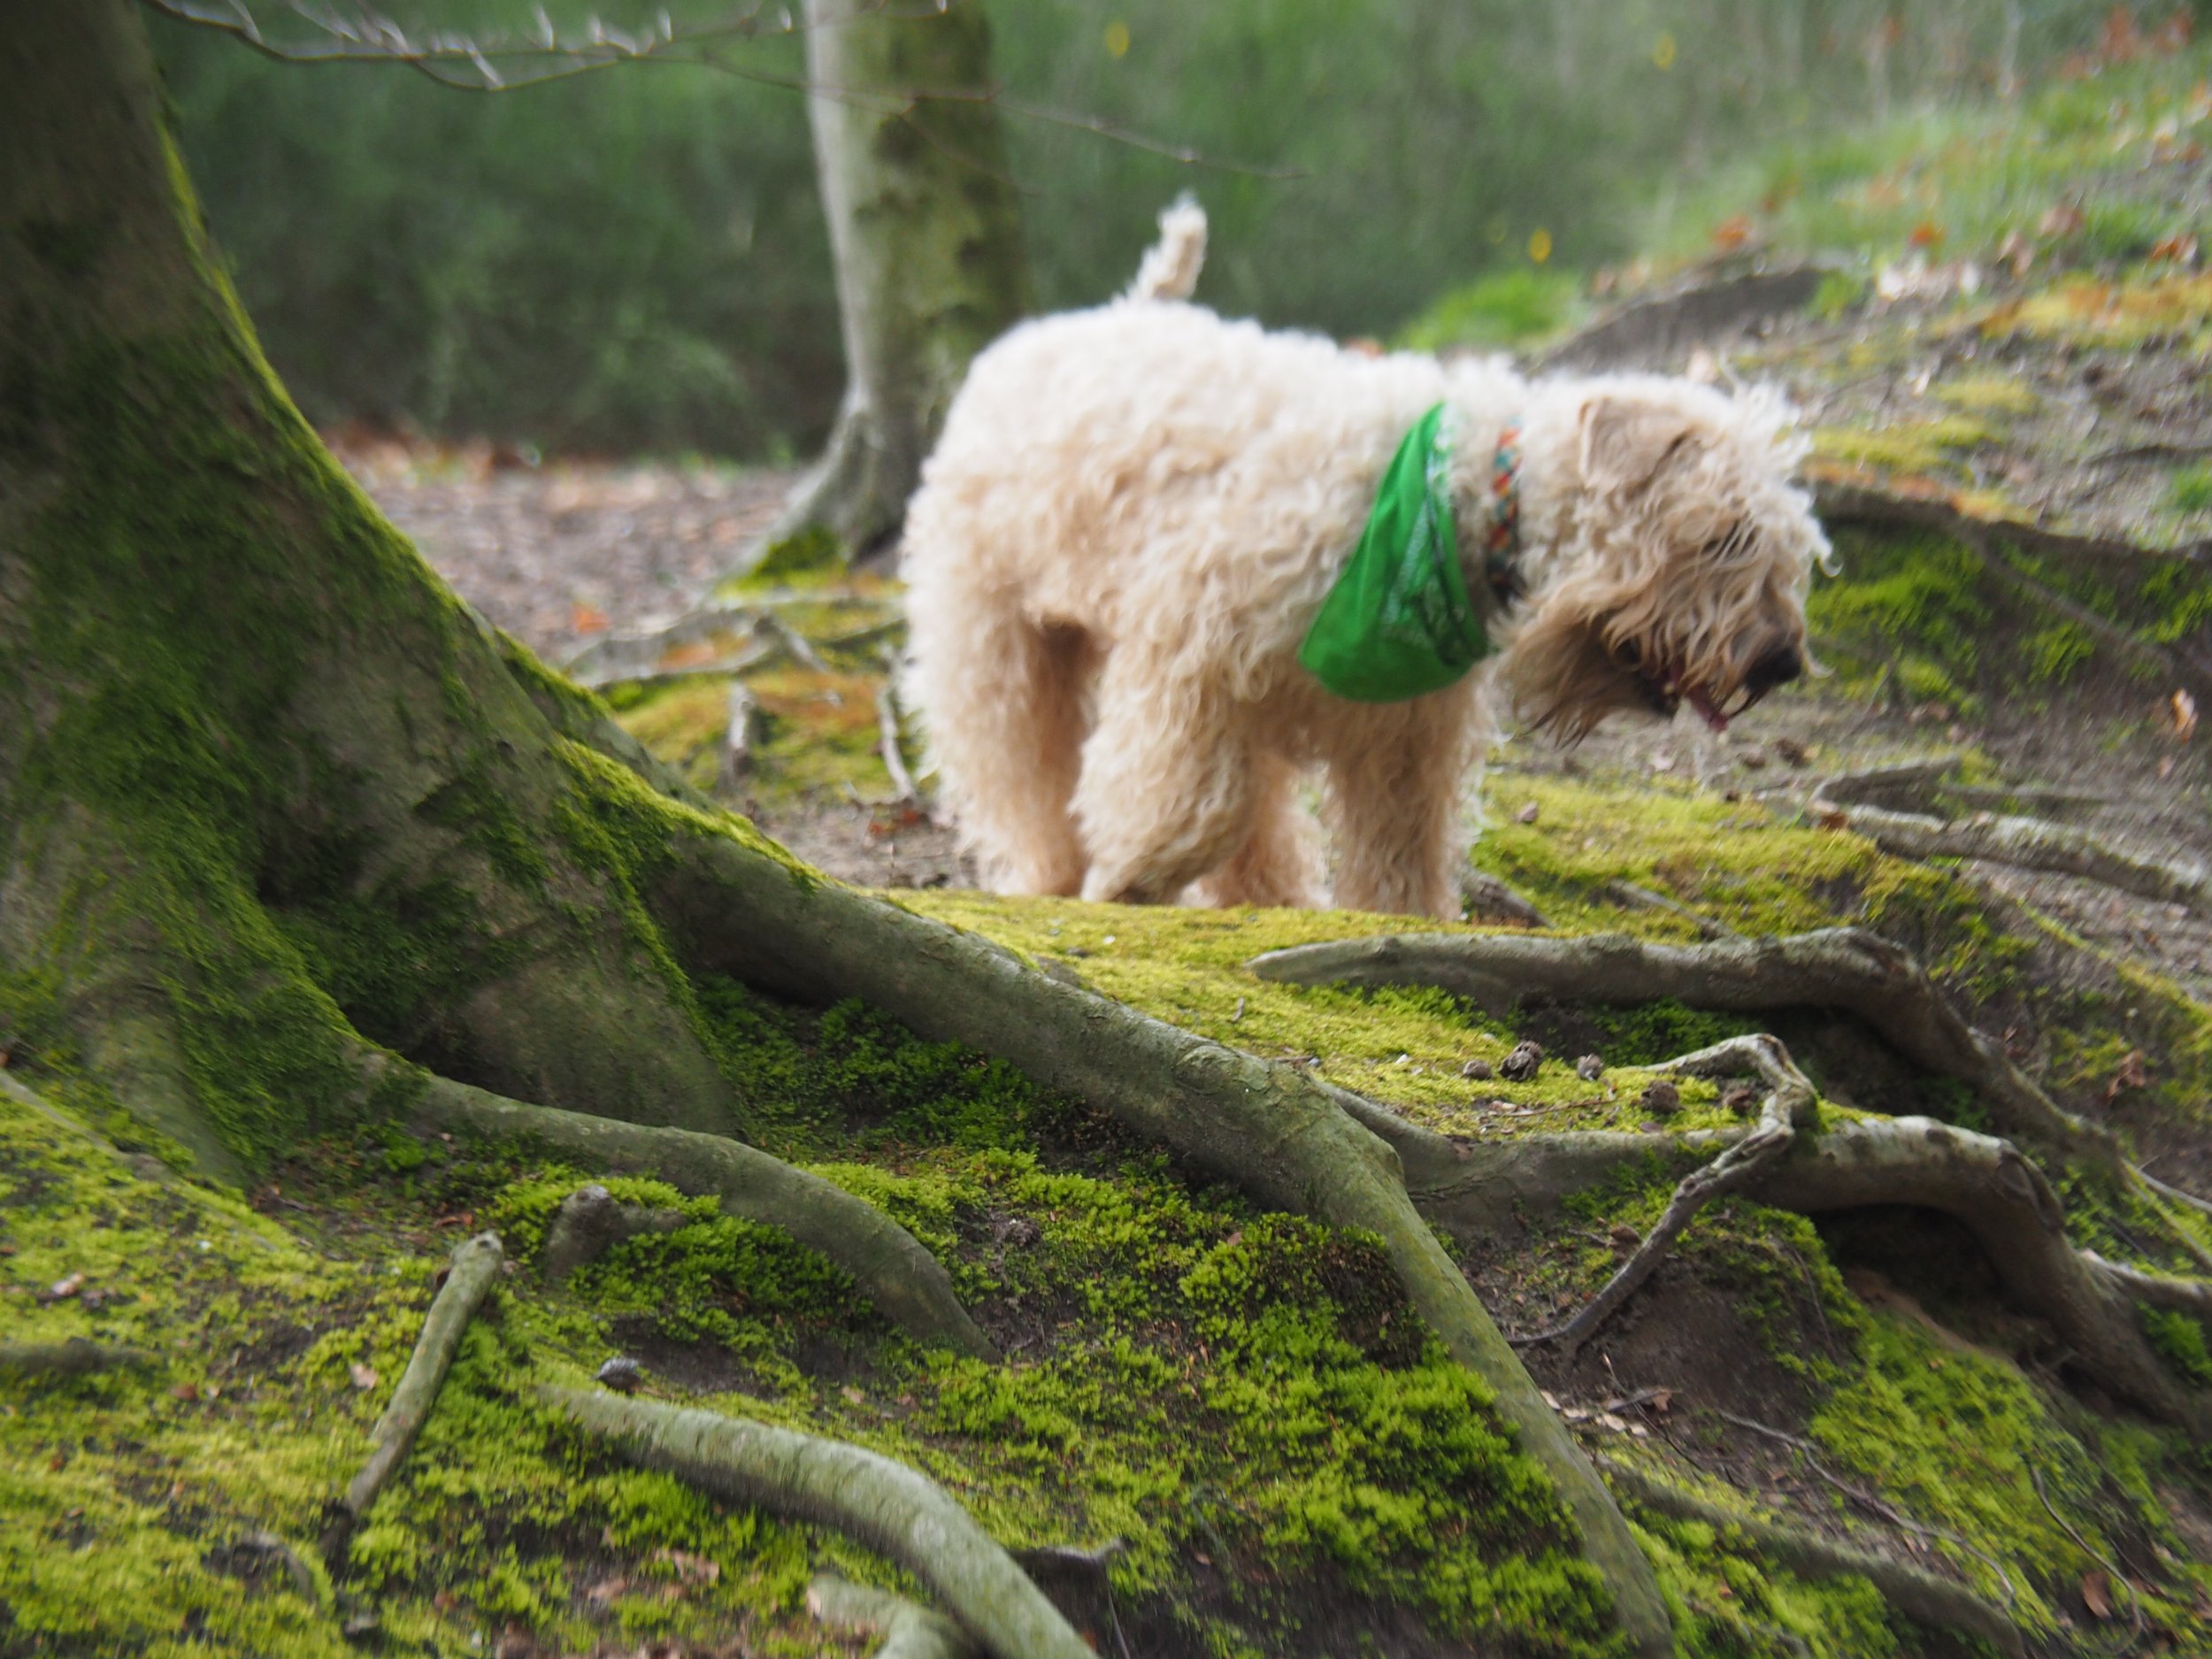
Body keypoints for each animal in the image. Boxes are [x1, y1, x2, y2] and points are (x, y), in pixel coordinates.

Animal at [901, 200, 1833, 919]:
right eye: (1724, 535)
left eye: (1788, 549)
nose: (1781, 660)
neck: (1461, 503)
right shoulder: (1194, 659)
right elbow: (1190, 804)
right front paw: (1131, 876)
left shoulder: (1401, 735)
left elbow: (1398, 848)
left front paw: (1402, 919)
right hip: (1001, 643)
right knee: (1025, 773)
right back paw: (1056, 873)